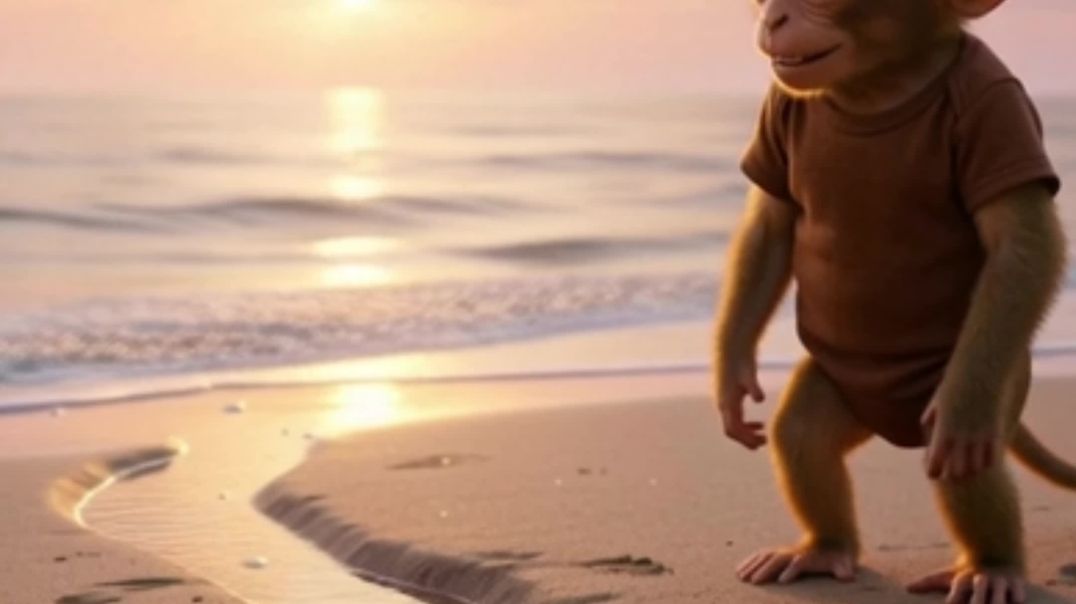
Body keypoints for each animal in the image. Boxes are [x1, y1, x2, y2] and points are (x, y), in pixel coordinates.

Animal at [712, 0, 1073, 602]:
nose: (776, 17)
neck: (877, 86)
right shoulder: (776, 108)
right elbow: (771, 224)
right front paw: (733, 379)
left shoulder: (995, 106)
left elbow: (1020, 245)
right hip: (847, 385)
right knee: (803, 434)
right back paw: (824, 547)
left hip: (991, 378)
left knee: (962, 457)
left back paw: (992, 565)